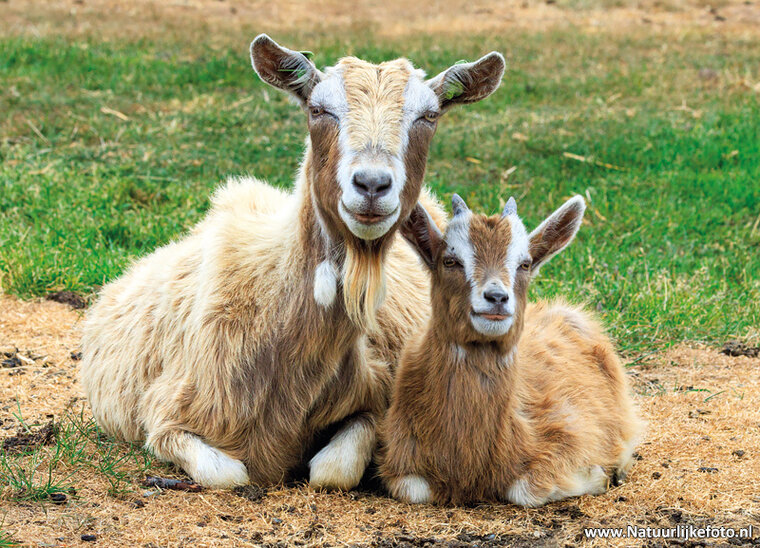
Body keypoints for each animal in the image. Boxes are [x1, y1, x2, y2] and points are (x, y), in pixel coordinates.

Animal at [80, 35, 506, 489]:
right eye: (318, 110)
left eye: (429, 116)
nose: (372, 185)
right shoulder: (165, 415)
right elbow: (230, 474)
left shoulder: (375, 395)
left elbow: (332, 470)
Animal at [380, 195, 642, 505]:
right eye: (450, 260)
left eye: (525, 264)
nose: (496, 297)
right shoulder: (400, 458)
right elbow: (411, 488)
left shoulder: (571, 432)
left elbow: (524, 490)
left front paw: (598, 475)